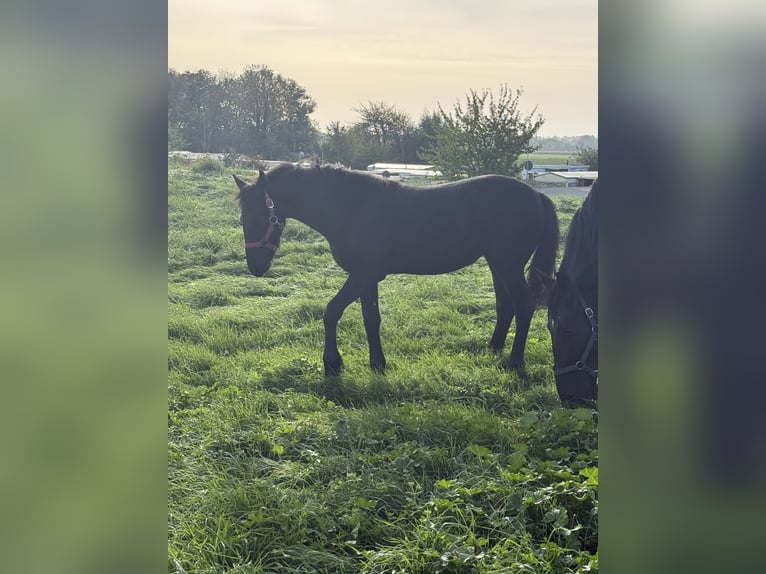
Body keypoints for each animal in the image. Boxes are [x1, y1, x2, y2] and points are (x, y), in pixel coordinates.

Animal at [234, 163, 559, 377]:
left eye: (261, 216)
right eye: (242, 217)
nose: (256, 267)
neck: (352, 208)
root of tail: (536, 195)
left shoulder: (363, 274)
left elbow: (331, 311)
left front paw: (333, 363)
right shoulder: (367, 278)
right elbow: (371, 319)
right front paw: (377, 363)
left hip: (508, 264)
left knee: (523, 305)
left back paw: (515, 361)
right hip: (497, 264)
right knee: (506, 306)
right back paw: (493, 349)